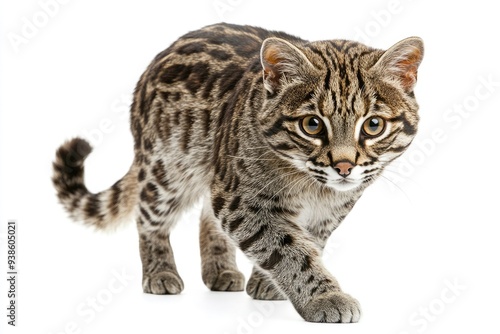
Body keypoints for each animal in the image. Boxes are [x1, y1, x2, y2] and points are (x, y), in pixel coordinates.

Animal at [53, 22, 422, 322]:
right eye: (312, 124)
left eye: (372, 125)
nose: (344, 165)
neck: (313, 187)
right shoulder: (242, 199)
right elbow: (286, 248)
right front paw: (324, 296)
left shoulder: (325, 215)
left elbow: (303, 244)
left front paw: (270, 282)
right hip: (169, 168)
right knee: (148, 217)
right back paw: (159, 271)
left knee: (206, 217)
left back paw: (221, 269)